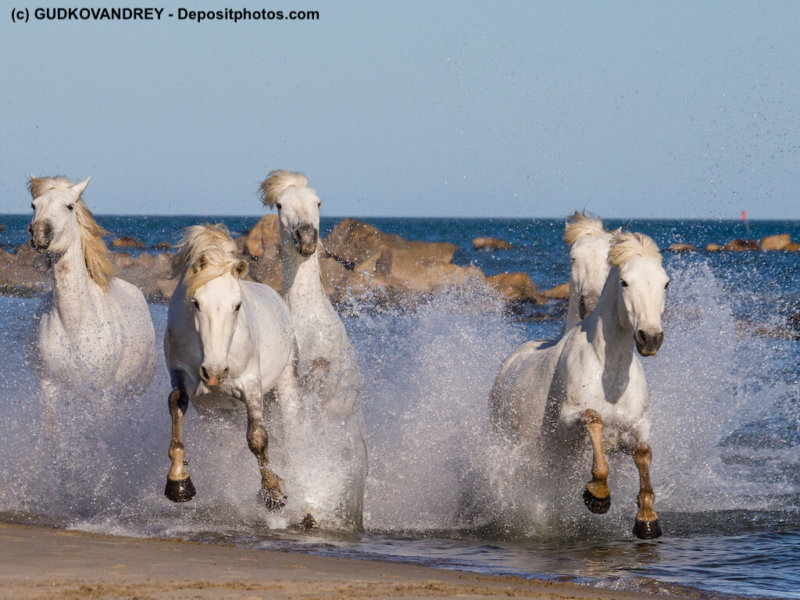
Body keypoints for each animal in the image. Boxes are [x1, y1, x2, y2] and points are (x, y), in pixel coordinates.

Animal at [26, 175, 156, 430]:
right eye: (34, 205)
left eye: (69, 206)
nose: (39, 233)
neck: (75, 326)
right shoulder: (49, 387)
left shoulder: (102, 394)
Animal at [163, 224, 301, 510]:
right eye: (196, 303)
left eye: (237, 305)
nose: (215, 374)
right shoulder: (181, 376)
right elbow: (175, 404)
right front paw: (178, 482)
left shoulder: (250, 383)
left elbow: (257, 437)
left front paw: (272, 491)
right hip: (218, 412)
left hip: (286, 382)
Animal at [260, 169, 367, 529]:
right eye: (280, 205)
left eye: (318, 202)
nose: (307, 238)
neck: (305, 320)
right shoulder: (286, 382)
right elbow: (291, 430)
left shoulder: (320, 376)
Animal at [490, 231, 669, 539]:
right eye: (625, 282)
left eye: (665, 282)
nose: (650, 338)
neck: (610, 375)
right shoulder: (566, 422)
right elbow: (593, 418)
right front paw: (598, 494)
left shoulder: (637, 426)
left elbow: (643, 453)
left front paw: (647, 519)